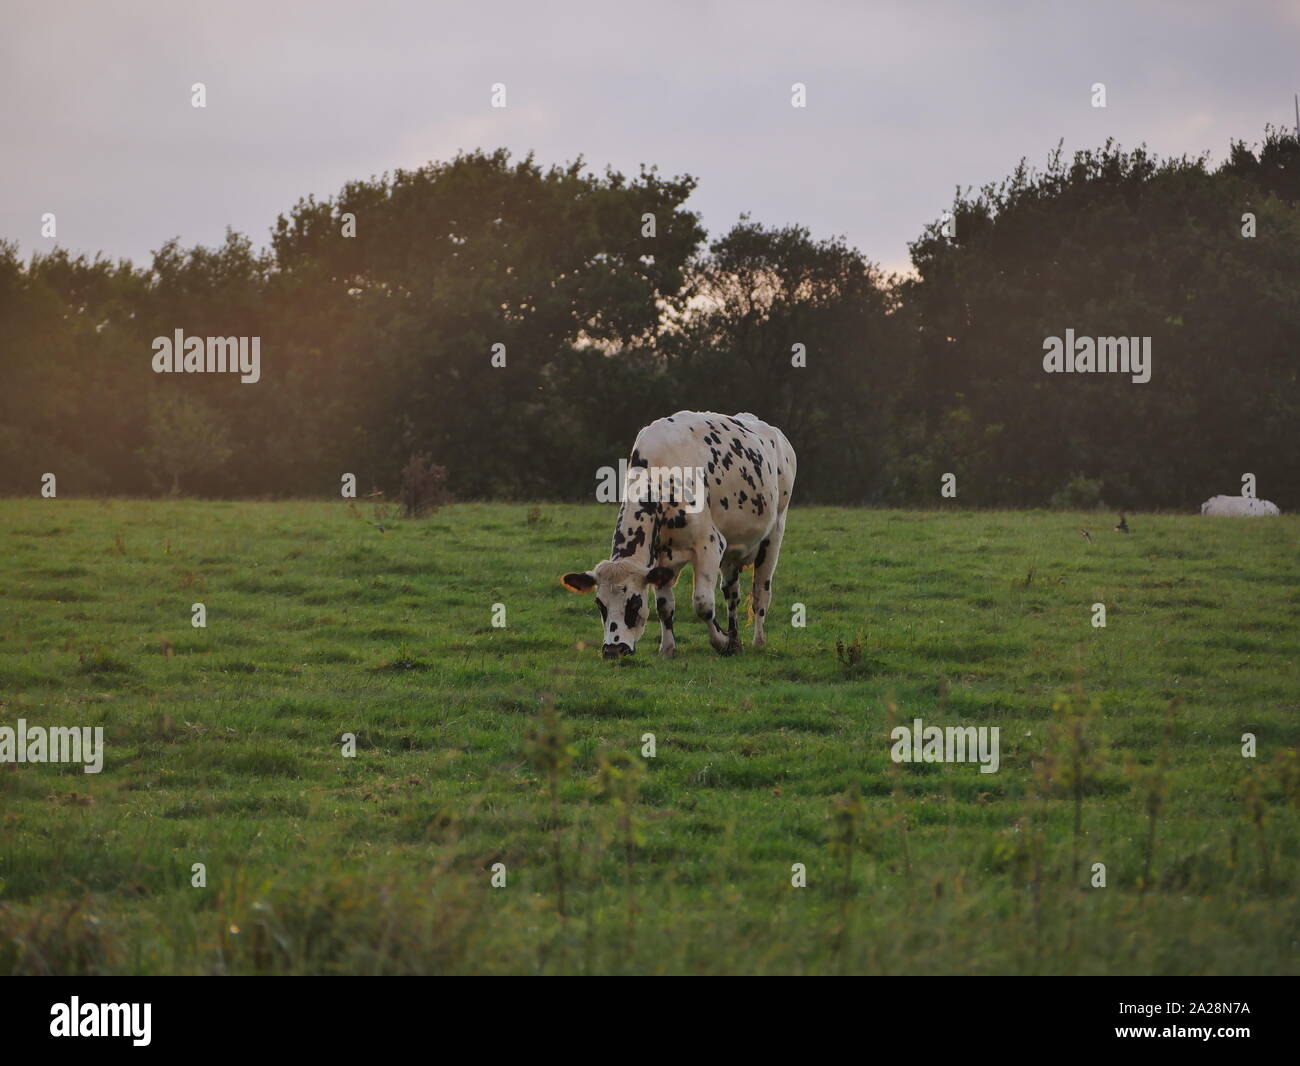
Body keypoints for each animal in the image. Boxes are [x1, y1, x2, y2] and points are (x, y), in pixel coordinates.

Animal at [564, 410, 795, 652]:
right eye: (600, 604)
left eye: (634, 602)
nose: (613, 649)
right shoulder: (660, 558)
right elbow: (664, 606)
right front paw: (668, 649)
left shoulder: (709, 544)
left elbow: (703, 604)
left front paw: (721, 641)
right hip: (732, 549)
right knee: (732, 593)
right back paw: (735, 638)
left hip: (774, 534)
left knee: (760, 594)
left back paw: (758, 641)